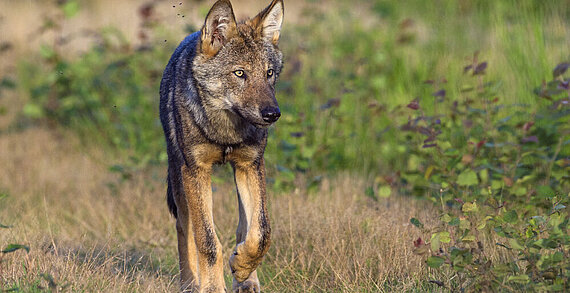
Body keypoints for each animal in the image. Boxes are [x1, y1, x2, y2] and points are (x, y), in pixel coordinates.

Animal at [159, 0, 282, 290]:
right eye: (240, 73)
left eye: (269, 73)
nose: (272, 114)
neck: (226, 132)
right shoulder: (196, 170)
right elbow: (207, 240)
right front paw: (212, 287)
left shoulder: (250, 164)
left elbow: (262, 231)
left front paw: (242, 267)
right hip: (178, 176)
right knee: (184, 228)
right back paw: (189, 283)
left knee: (244, 227)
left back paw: (247, 280)